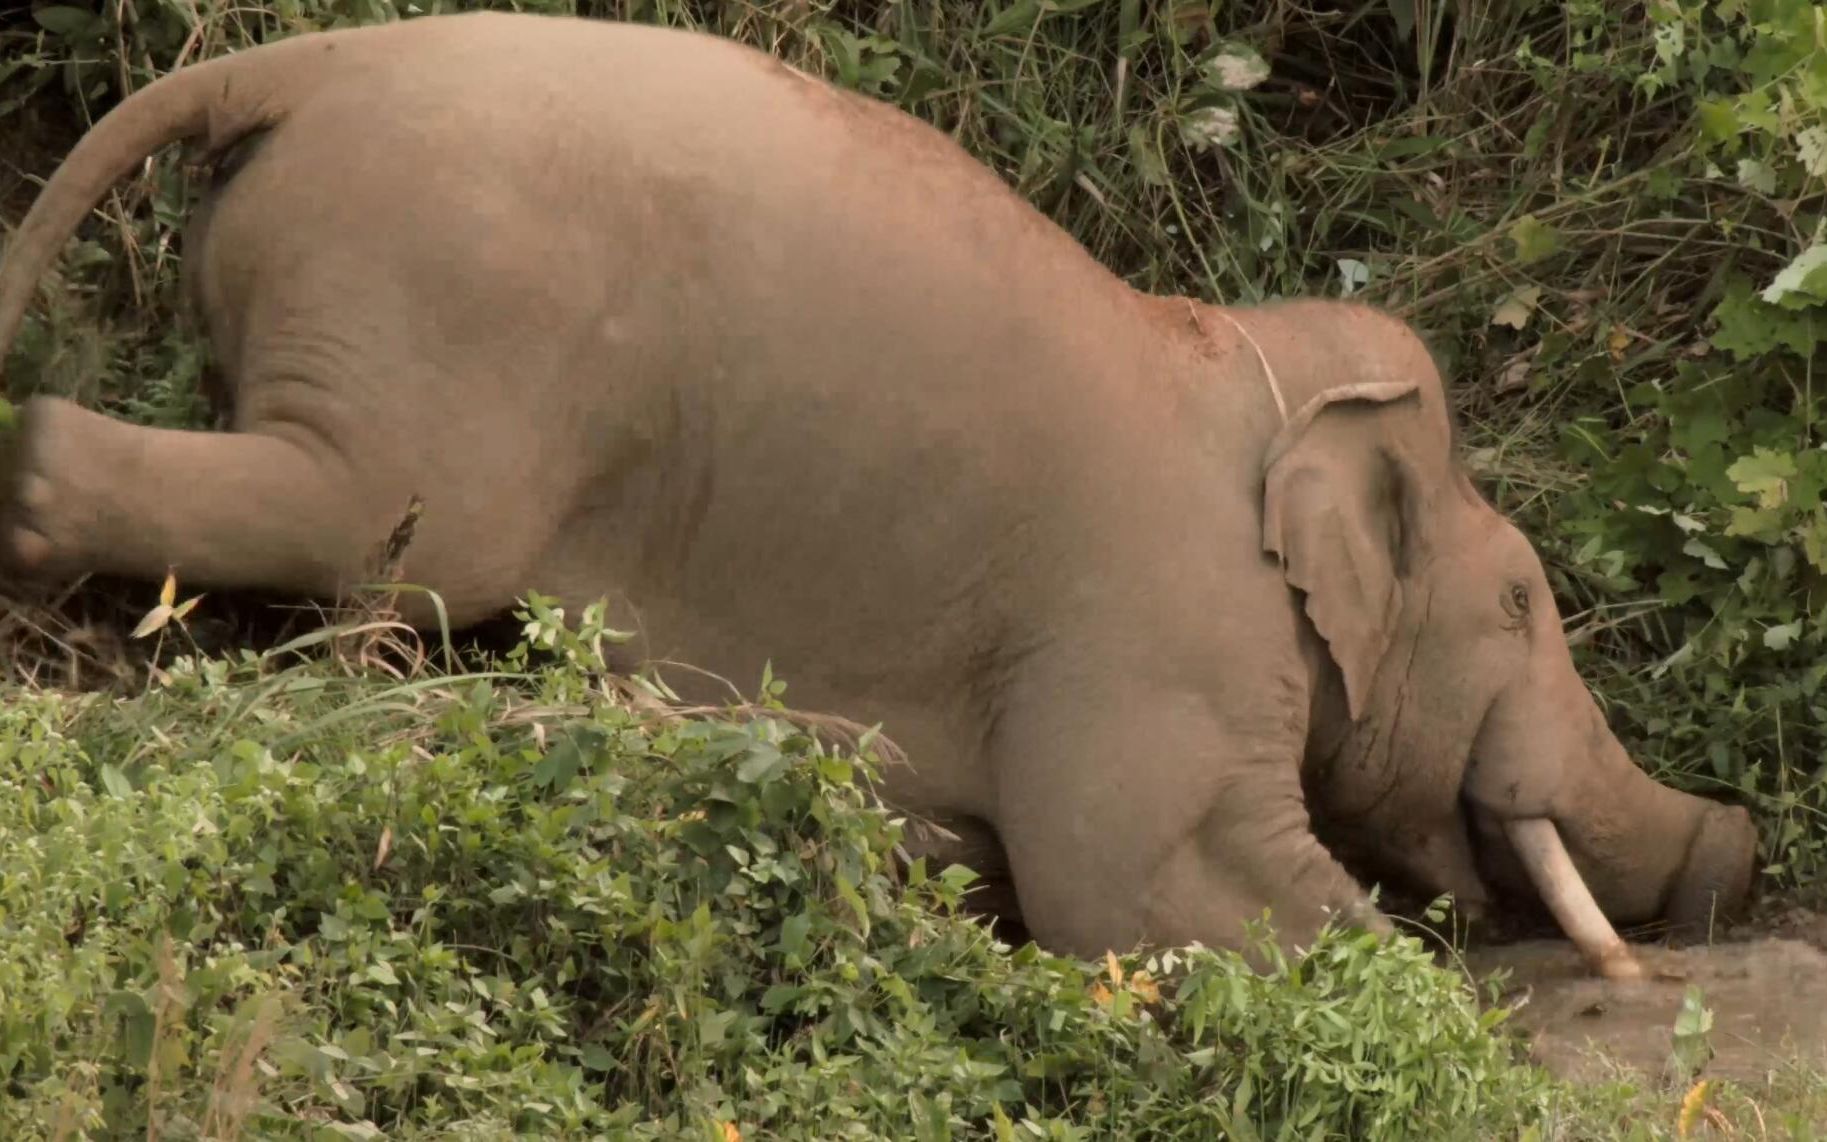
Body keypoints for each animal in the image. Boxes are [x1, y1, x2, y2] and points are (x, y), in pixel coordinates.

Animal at [0, 8, 1761, 972]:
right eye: (1520, 598)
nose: (1737, 849)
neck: (1256, 361)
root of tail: (292, 65)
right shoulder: (1161, 628)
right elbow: (1135, 884)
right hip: (431, 330)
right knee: (360, 512)